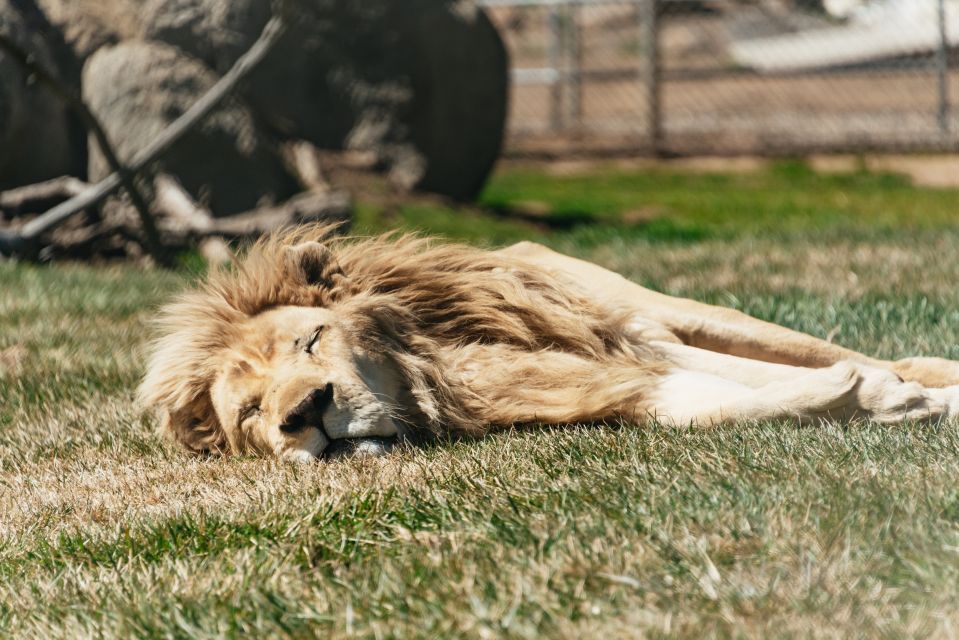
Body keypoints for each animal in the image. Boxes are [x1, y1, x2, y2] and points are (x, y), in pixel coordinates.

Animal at [137, 225, 959, 460]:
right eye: (249, 413)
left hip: (655, 308)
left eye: (311, 341)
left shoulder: (630, 341)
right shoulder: (549, 383)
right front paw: (883, 401)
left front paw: (898, 395)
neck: (430, 365)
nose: (305, 413)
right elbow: (696, 405)